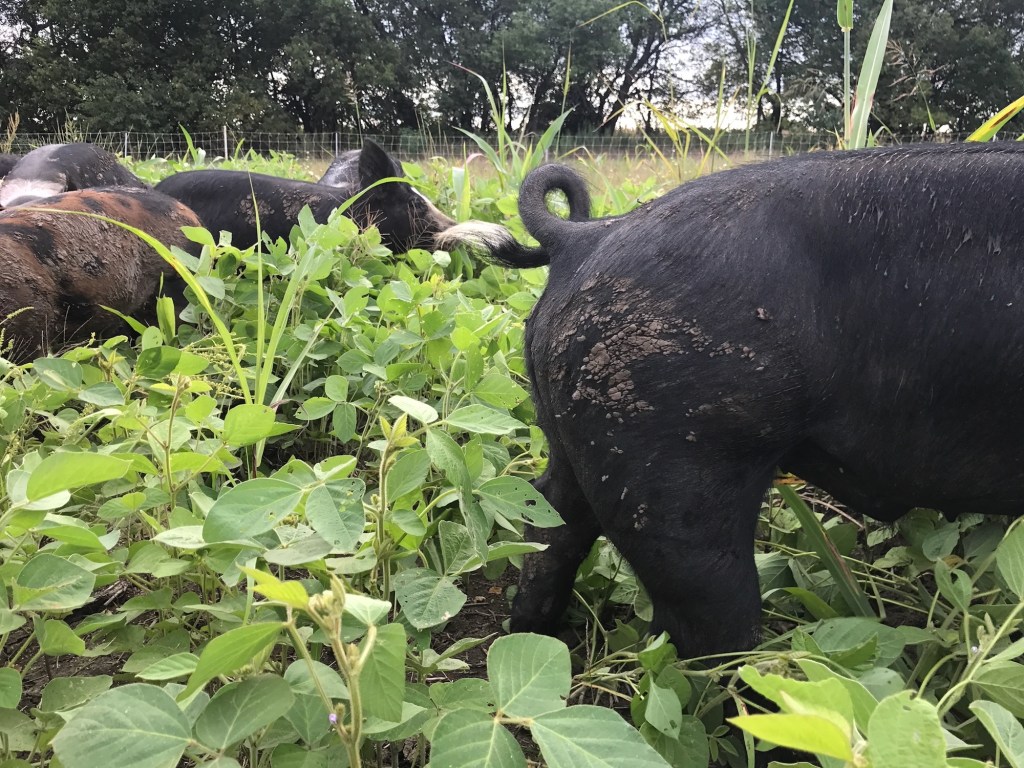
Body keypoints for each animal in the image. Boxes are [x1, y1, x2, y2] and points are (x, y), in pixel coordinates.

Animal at [436, 141, 1024, 656]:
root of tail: (587, 235)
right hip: (674, 470)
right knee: (701, 631)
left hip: (578, 436)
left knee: (552, 524)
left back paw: (534, 639)